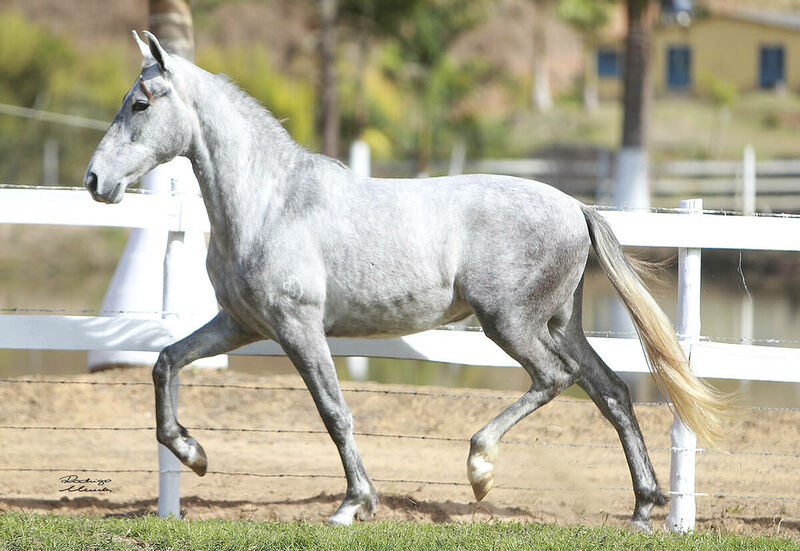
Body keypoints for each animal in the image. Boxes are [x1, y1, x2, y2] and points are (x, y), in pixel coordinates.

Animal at [86, 31, 724, 532]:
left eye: (140, 103)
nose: (95, 181)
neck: (272, 203)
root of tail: (575, 206)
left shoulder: (298, 327)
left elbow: (333, 410)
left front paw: (354, 505)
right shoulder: (240, 325)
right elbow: (165, 361)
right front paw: (193, 454)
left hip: (510, 323)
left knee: (555, 378)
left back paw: (480, 468)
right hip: (559, 323)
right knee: (611, 391)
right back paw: (642, 509)